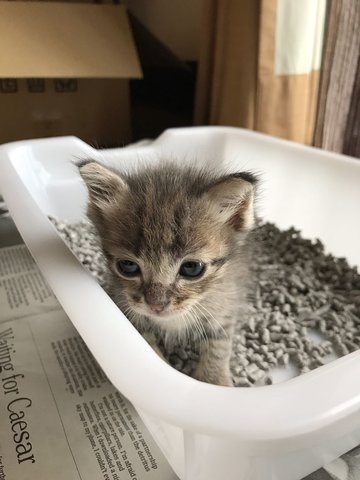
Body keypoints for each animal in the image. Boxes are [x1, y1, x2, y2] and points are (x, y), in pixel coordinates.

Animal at [80, 161, 258, 386]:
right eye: (127, 266)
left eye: (192, 268)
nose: (156, 305)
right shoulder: (126, 306)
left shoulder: (226, 301)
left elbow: (219, 344)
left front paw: (214, 380)